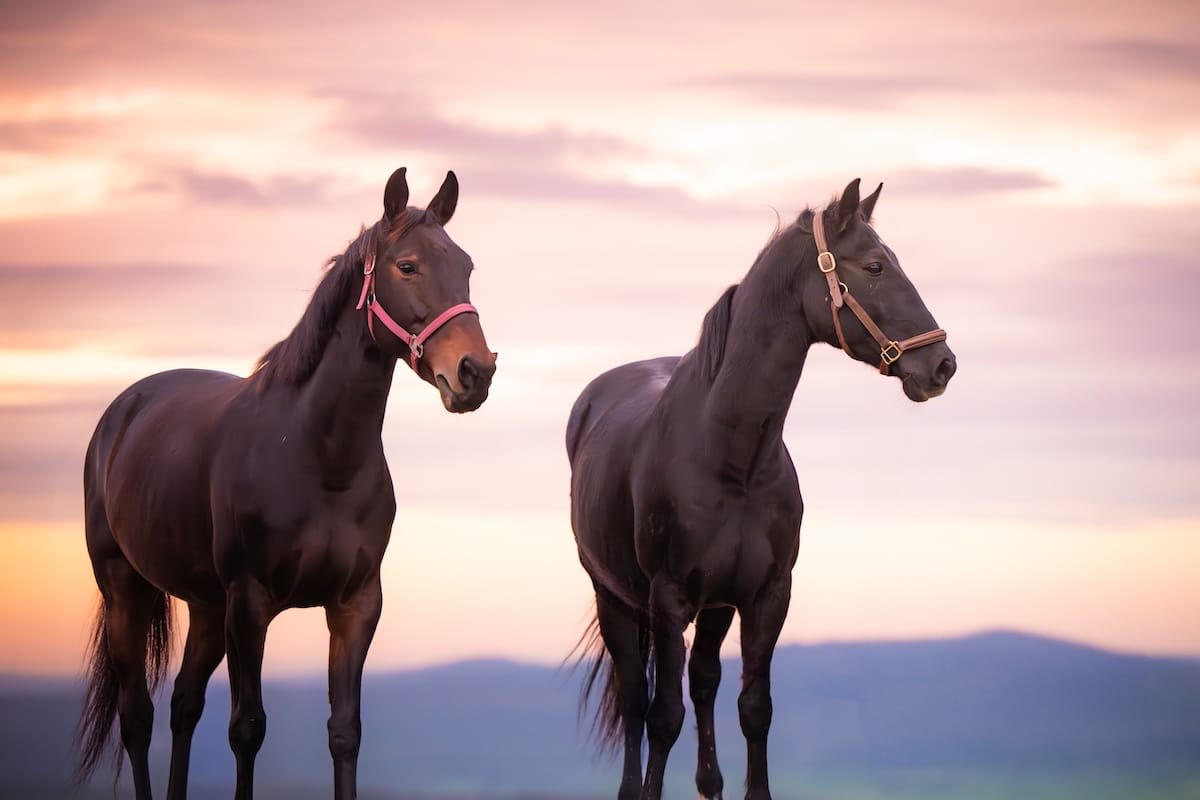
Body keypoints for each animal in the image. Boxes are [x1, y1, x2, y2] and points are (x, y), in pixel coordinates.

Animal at [75, 167, 497, 800]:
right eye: (408, 266)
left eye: (467, 266)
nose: (476, 371)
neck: (318, 460)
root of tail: (123, 410)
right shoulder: (250, 603)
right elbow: (247, 728)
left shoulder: (355, 605)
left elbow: (345, 731)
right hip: (127, 590)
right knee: (137, 718)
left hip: (205, 605)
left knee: (183, 706)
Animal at [566, 179, 956, 800]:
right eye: (874, 265)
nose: (941, 364)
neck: (730, 458)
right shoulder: (668, 598)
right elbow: (663, 717)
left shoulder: (767, 595)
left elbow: (753, 707)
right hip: (616, 598)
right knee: (635, 699)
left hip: (716, 606)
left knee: (703, 682)